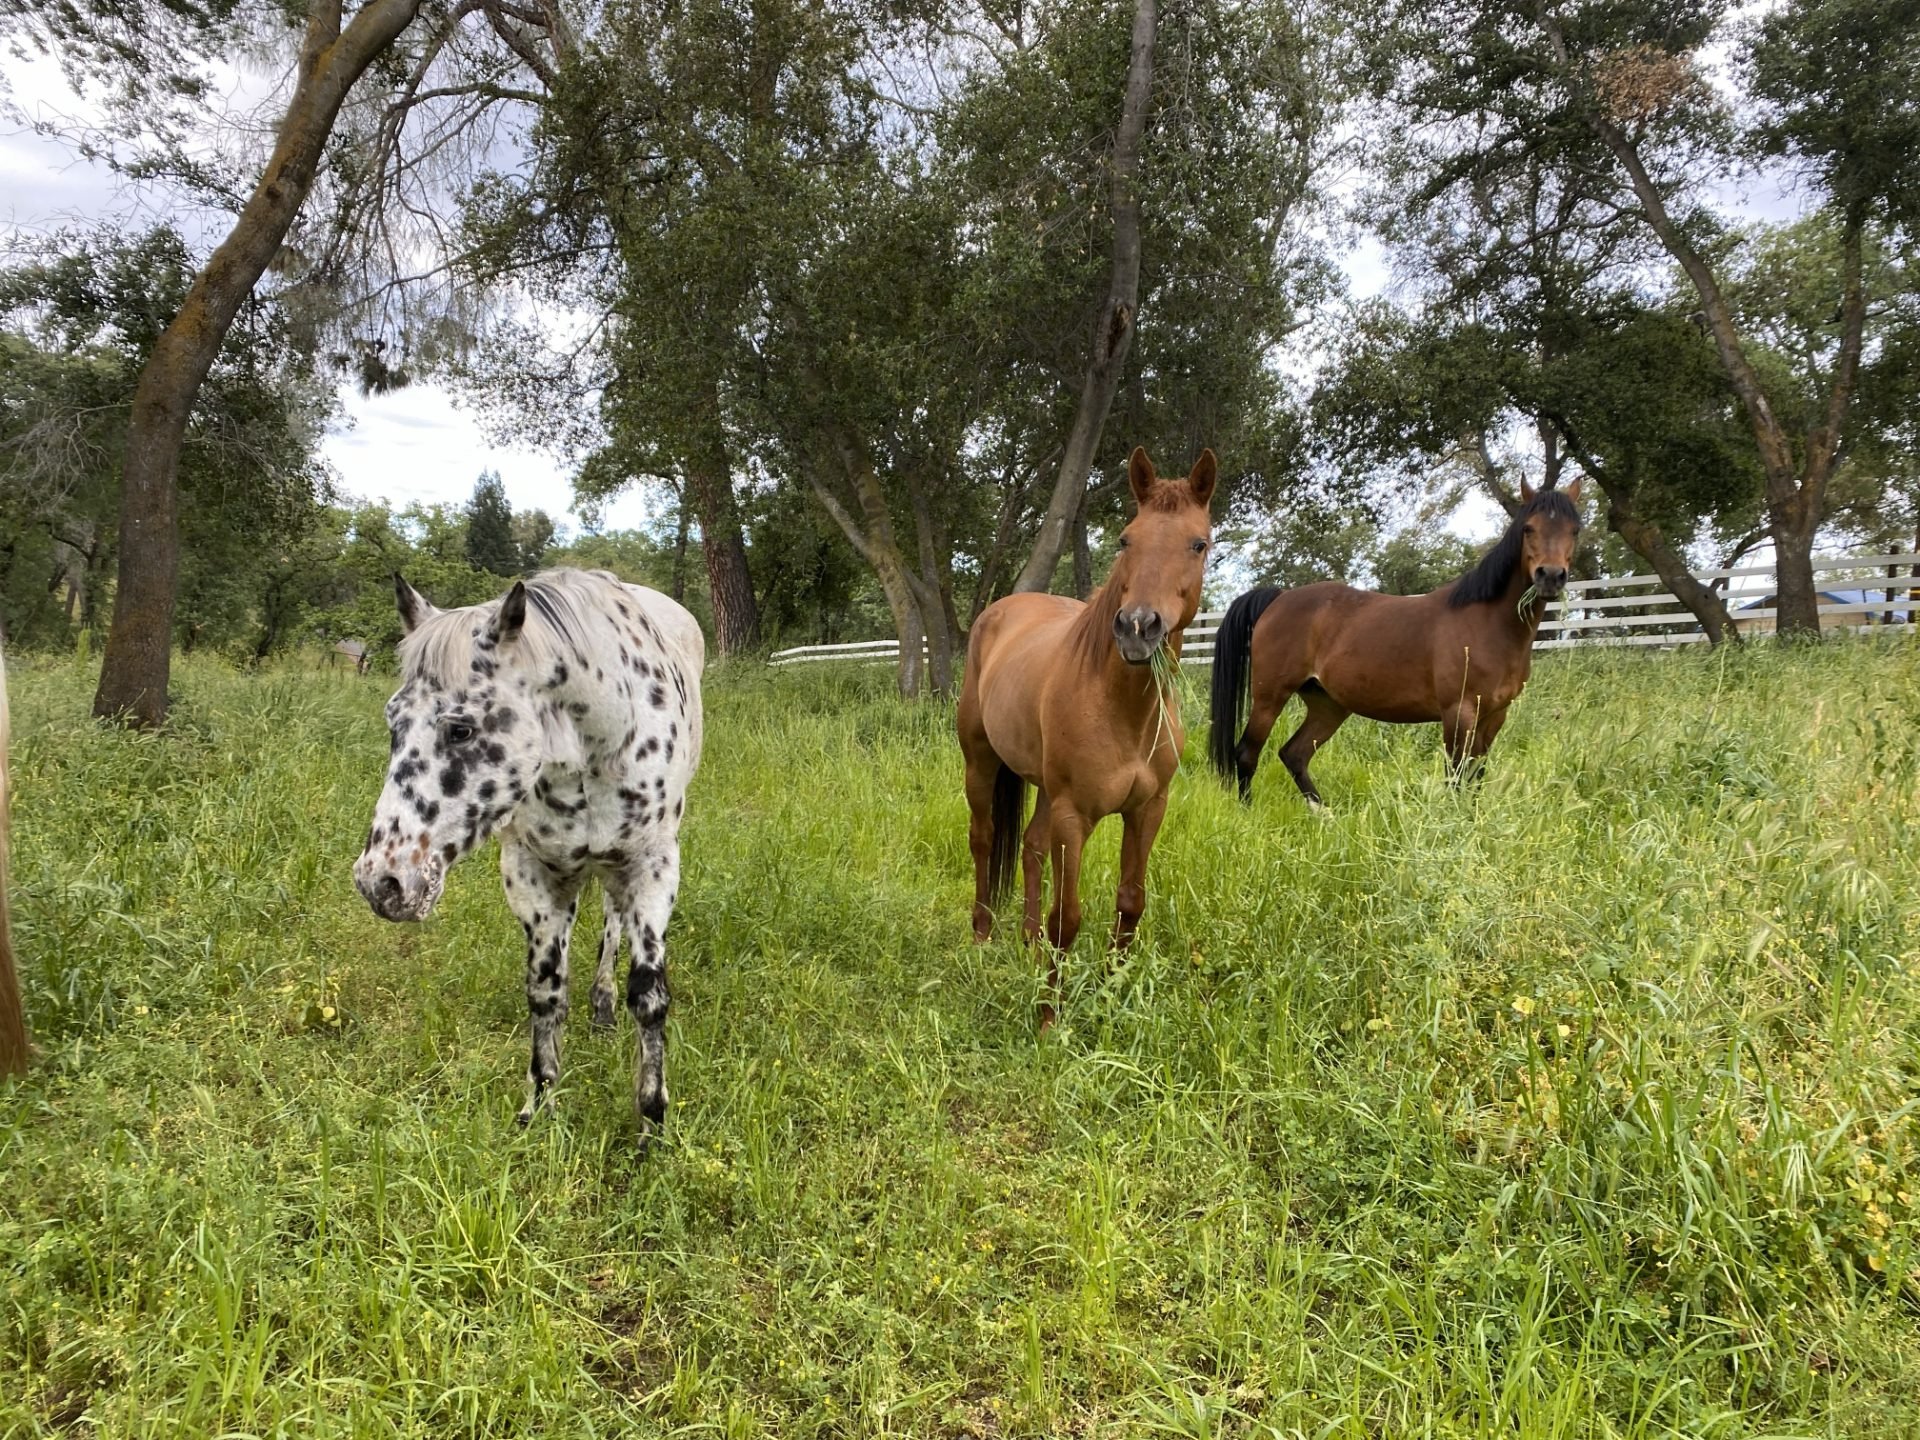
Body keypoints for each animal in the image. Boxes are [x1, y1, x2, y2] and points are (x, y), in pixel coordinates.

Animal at [353, 568, 704, 1137]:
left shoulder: (653, 867)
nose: (381, 882)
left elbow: (650, 995)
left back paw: (605, 1006)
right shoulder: (531, 873)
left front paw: (651, 1119)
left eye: (461, 728)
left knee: (613, 924)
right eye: (392, 721)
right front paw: (539, 1103)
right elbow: (545, 991)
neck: (591, 743)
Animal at [958, 447, 1216, 1022]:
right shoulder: (1074, 816)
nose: (1138, 627)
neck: (1123, 709)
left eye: (1199, 543)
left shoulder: (1148, 810)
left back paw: (1028, 943)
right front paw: (1049, 1019)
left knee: (1031, 848)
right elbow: (1068, 918)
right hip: (981, 763)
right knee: (984, 840)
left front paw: (1110, 993)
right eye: (1125, 539)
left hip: (1043, 788)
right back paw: (983, 936)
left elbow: (1130, 903)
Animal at [1209, 480, 1583, 805]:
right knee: (1247, 754)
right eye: (1528, 528)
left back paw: (1326, 817)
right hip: (1270, 697)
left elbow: (1475, 777)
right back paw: (1247, 811)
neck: (1487, 623)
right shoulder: (1458, 713)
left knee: (1294, 754)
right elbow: (1456, 778)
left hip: (1328, 705)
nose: (1550, 576)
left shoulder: (1494, 716)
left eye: (1575, 530)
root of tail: (1278, 597)